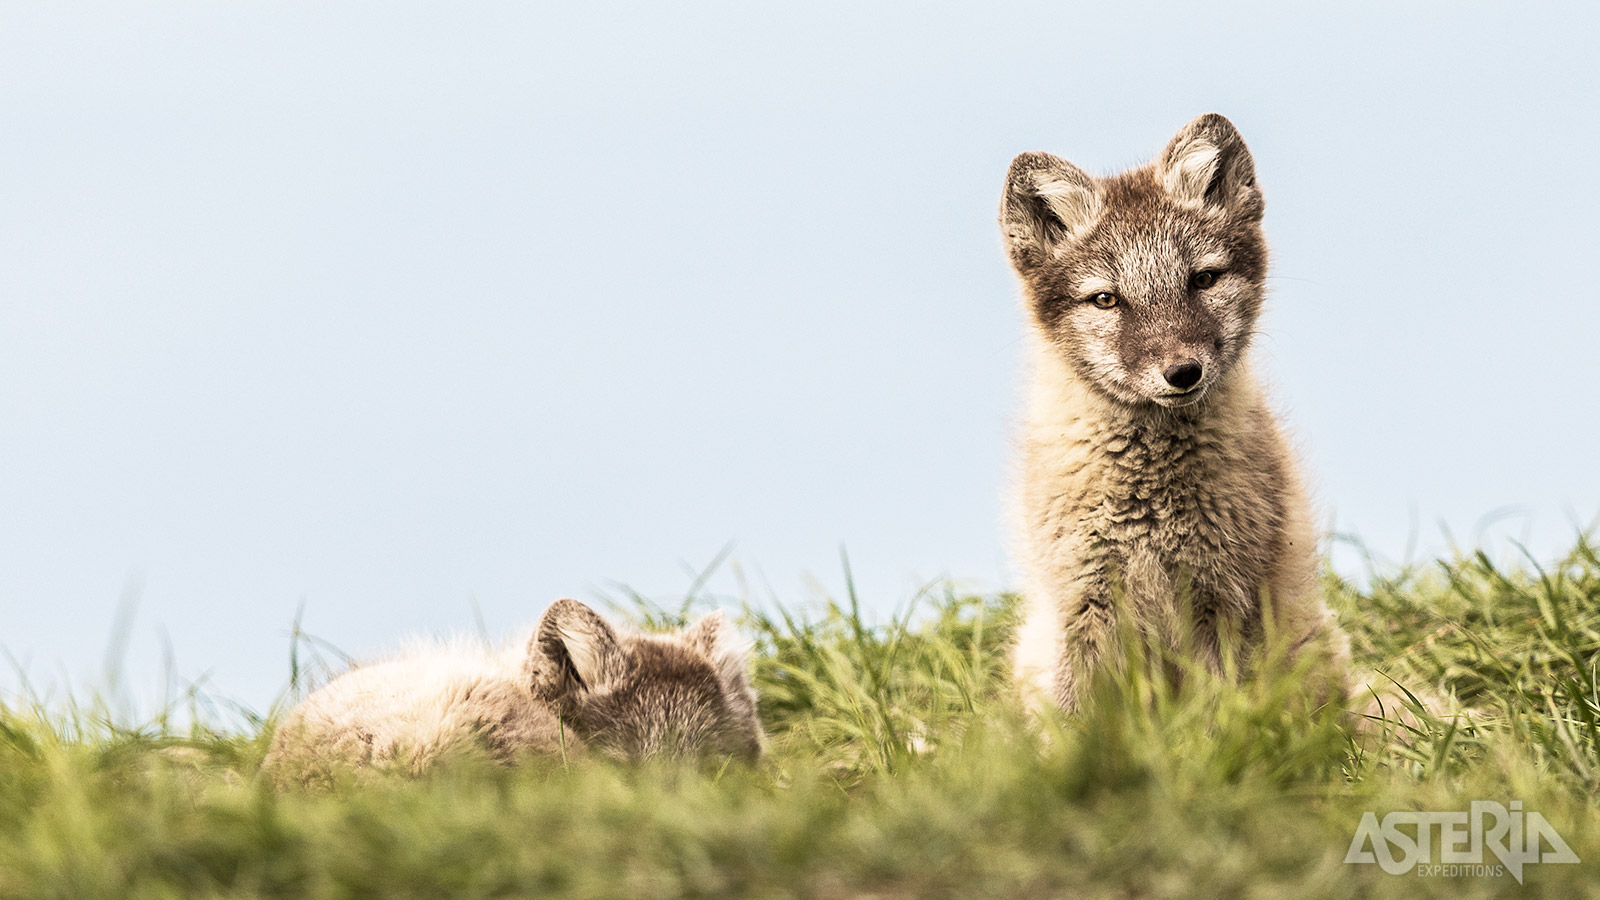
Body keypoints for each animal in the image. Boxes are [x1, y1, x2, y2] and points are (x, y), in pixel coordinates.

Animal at [998, 112, 1350, 711]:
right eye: (1106, 300)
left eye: (1202, 279)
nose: (1183, 373)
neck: (1149, 498)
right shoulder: (1085, 602)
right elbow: (1080, 718)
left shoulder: (1222, 596)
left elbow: (1218, 716)